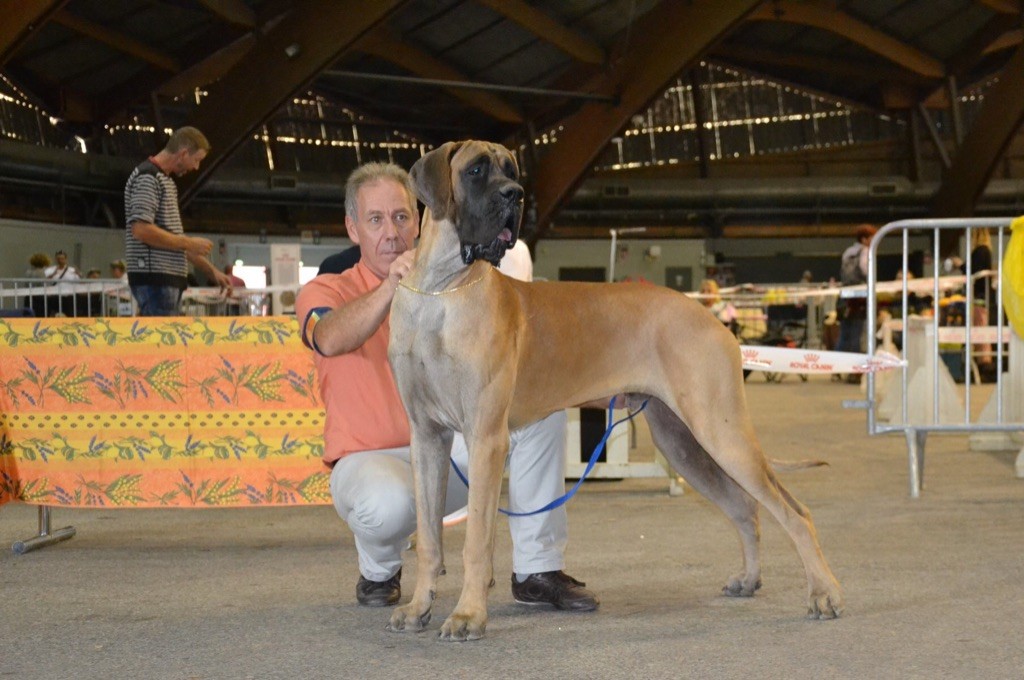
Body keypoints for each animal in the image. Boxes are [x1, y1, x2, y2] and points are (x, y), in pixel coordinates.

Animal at [386, 140, 843, 640]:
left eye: (512, 172)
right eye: (476, 170)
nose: (516, 196)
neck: (441, 292)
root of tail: (712, 318)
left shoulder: (486, 438)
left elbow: (475, 542)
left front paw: (468, 614)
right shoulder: (427, 438)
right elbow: (429, 538)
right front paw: (418, 607)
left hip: (721, 433)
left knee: (794, 512)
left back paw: (824, 593)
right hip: (684, 443)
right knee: (746, 509)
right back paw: (749, 579)